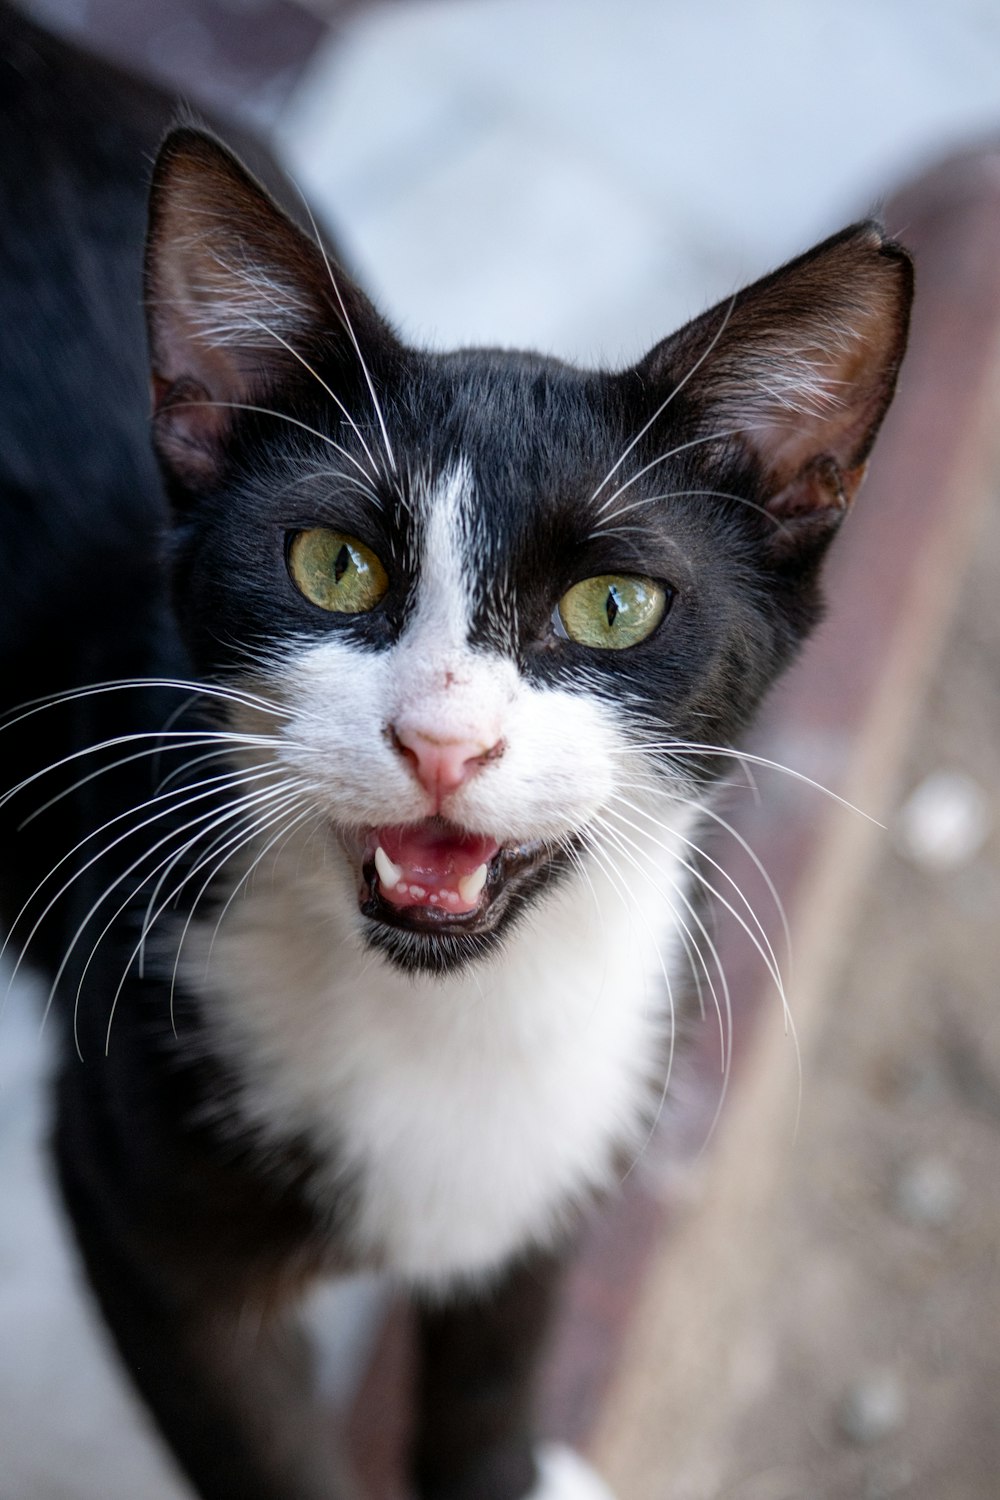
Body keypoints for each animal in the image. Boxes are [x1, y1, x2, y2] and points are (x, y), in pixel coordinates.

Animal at [0, 5, 917, 1494]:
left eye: (614, 607)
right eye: (333, 564)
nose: (441, 738)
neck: (449, 1019)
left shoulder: (575, 1128)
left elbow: (495, 1361)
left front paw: (507, 1461)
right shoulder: (134, 1199)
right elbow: (267, 1448)